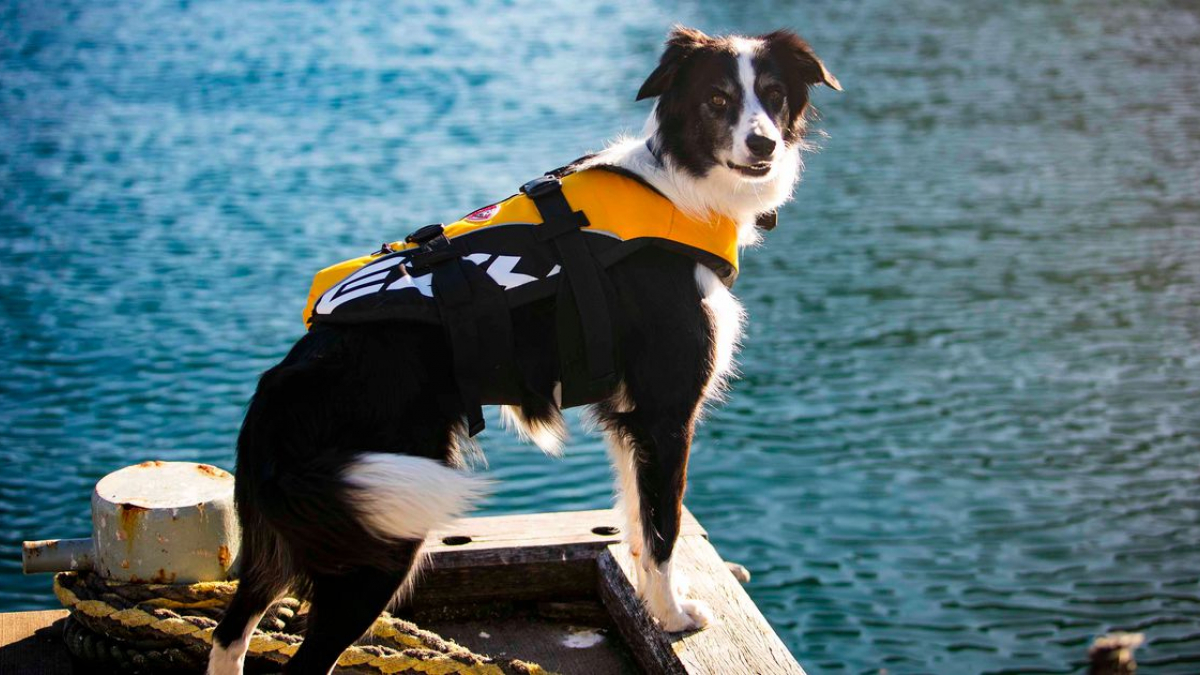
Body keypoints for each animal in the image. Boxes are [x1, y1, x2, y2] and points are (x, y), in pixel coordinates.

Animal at [206, 26, 840, 672]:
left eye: (773, 94)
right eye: (717, 99)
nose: (762, 144)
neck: (681, 188)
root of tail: (283, 380)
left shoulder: (627, 419)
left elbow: (638, 527)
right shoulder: (665, 417)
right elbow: (663, 530)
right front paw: (672, 618)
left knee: (228, 631)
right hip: (377, 534)